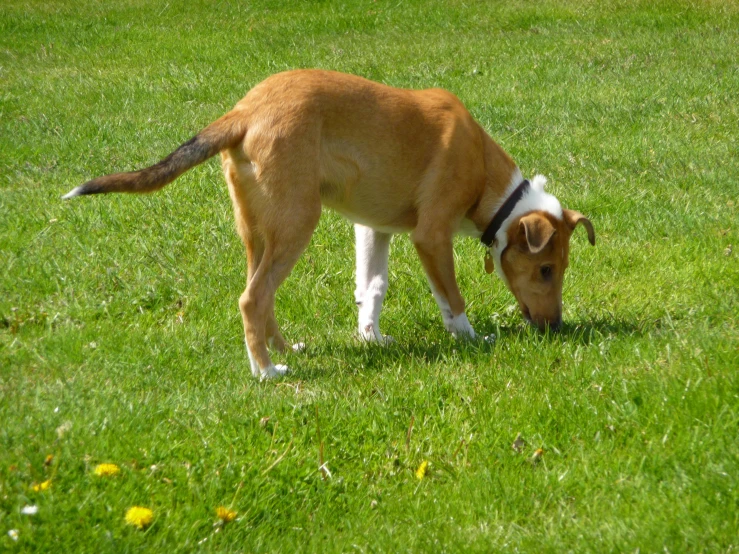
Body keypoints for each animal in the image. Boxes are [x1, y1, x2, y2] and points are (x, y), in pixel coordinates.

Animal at [62, 69, 596, 378]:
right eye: (546, 269)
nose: (555, 327)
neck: (490, 181)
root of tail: (243, 111)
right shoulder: (431, 235)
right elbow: (452, 299)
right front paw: (471, 339)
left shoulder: (374, 228)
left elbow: (373, 287)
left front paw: (371, 338)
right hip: (298, 221)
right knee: (252, 298)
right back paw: (266, 372)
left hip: (258, 229)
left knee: (262, 295)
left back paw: (286, 351)